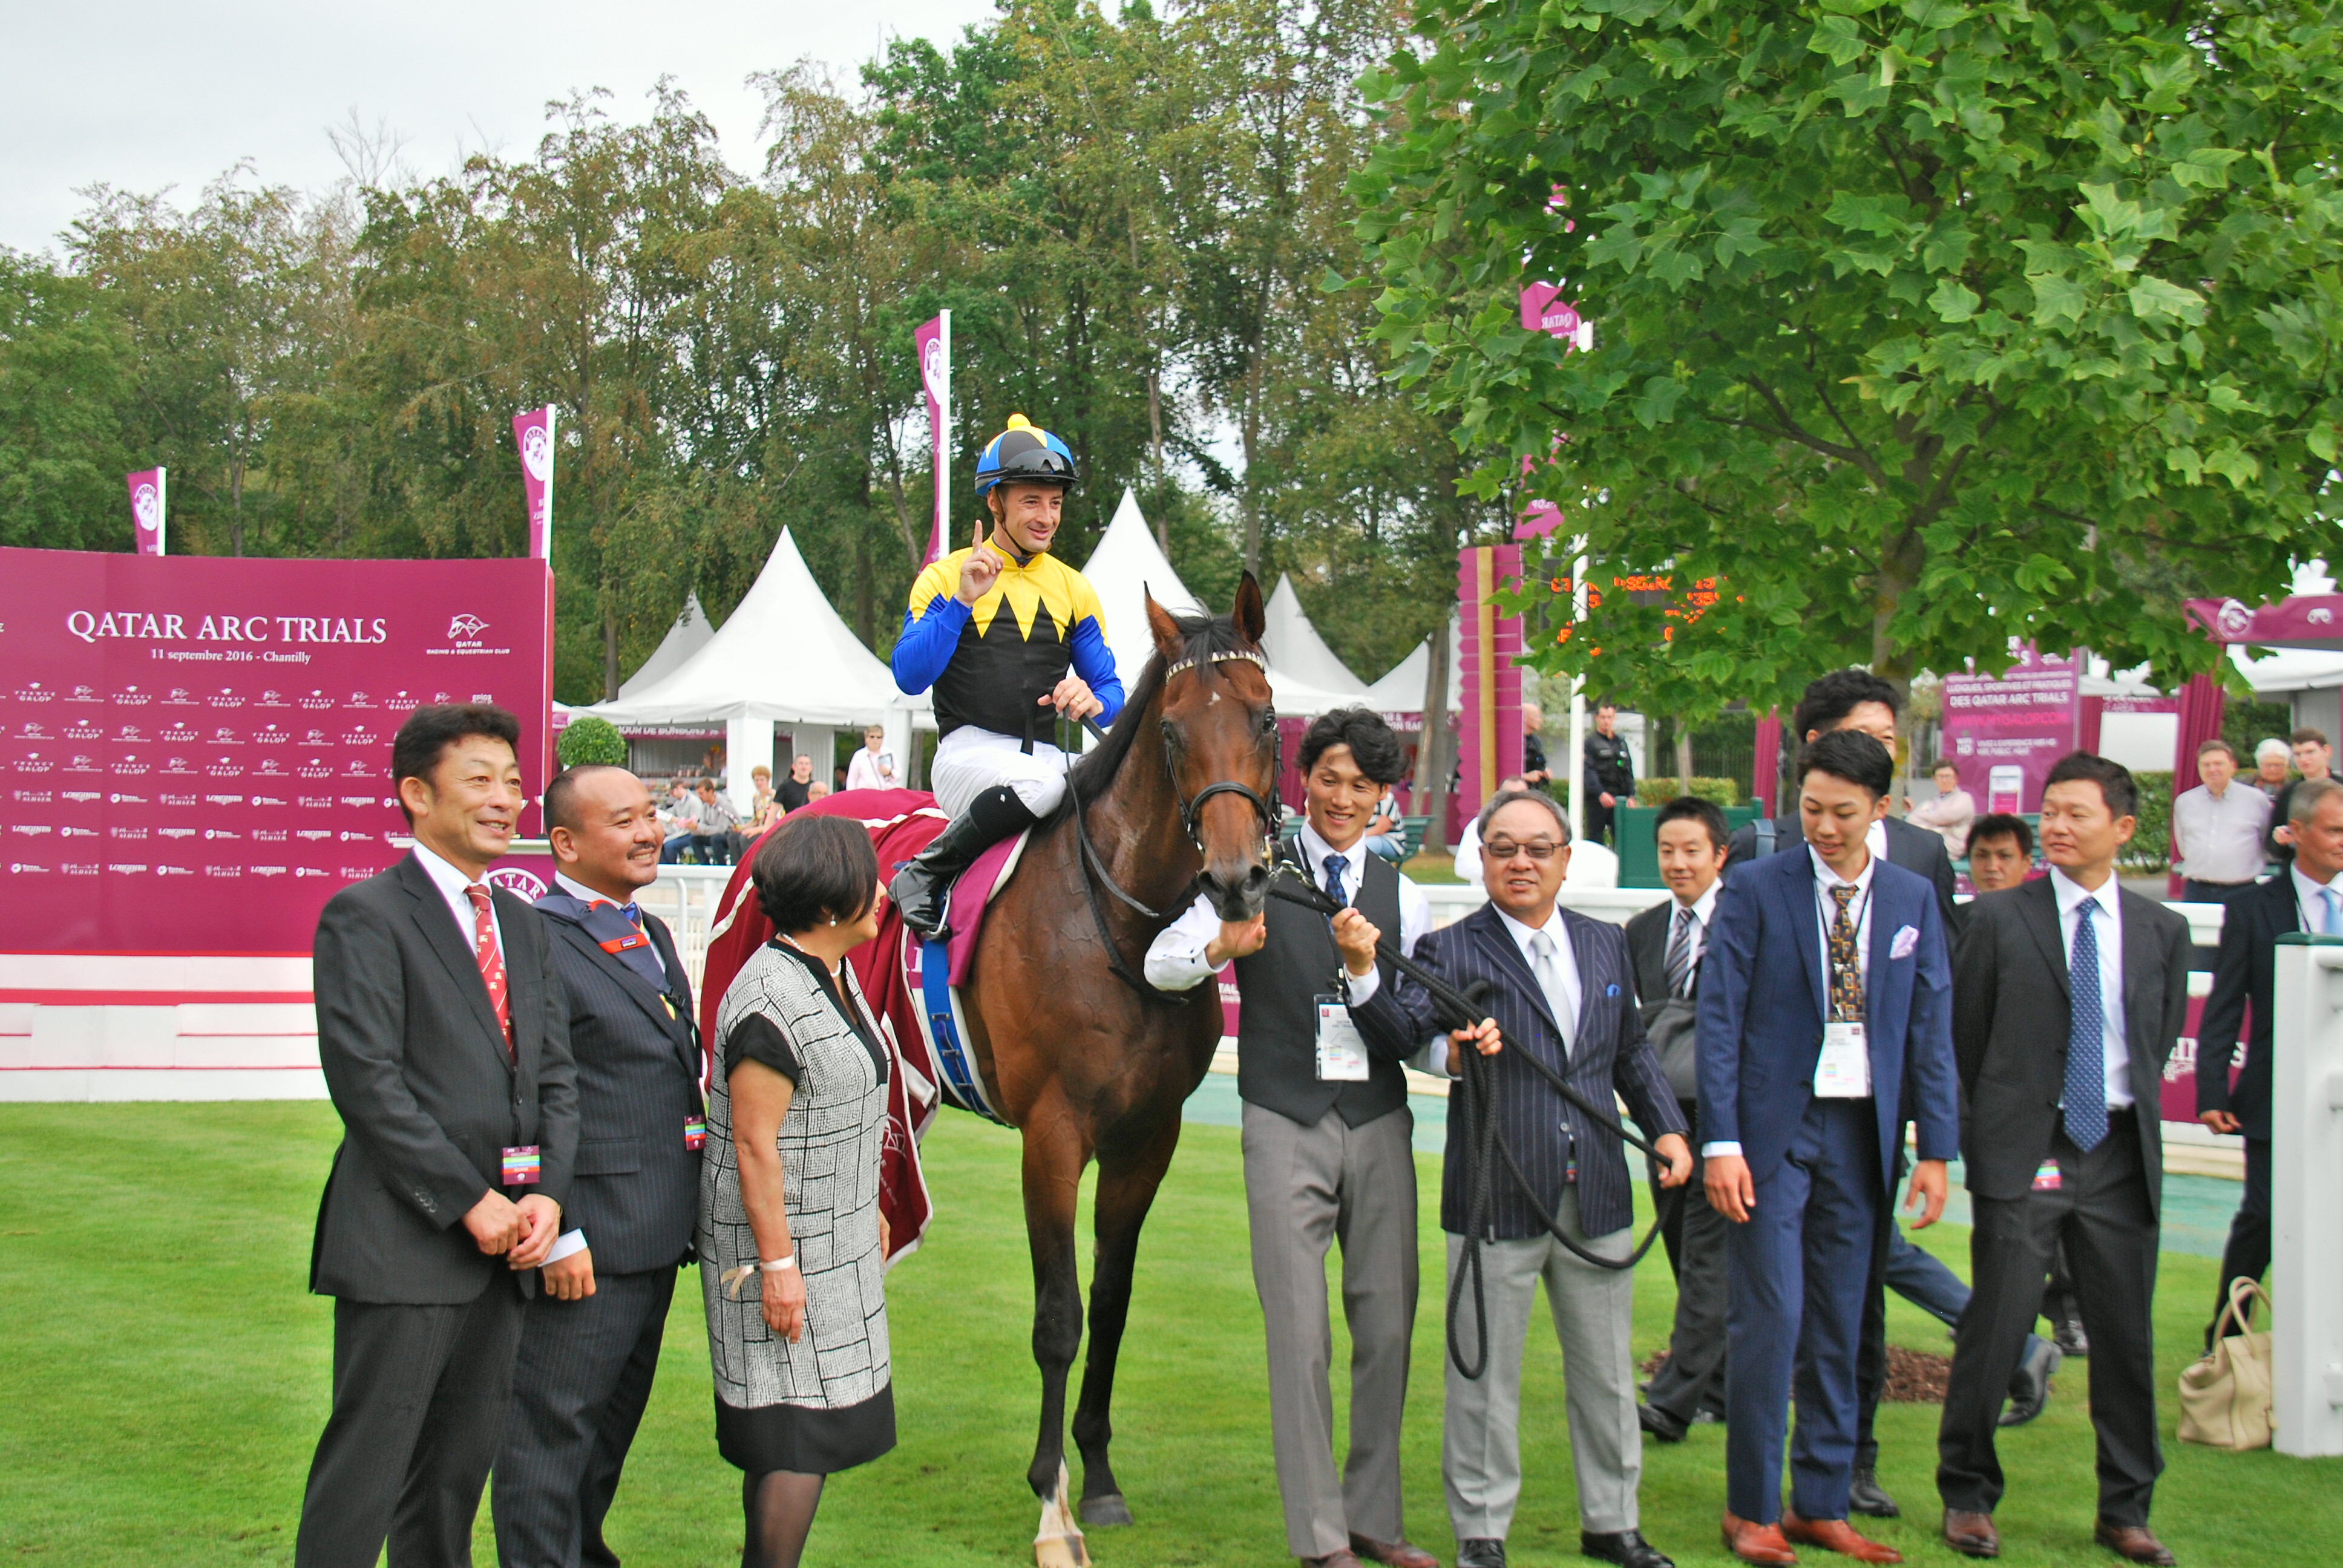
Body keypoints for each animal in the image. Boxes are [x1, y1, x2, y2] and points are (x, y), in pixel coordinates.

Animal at [955, 578, 1274, 1566]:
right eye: (1170, 731)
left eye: (1267, 717)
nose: (1238, 880)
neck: (1119, 929)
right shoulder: (1053, 1136)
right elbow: (1060, 1315)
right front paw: (1049, 1499)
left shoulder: (1148, 1139)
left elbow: (1114, 1299)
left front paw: (1095, 1478)